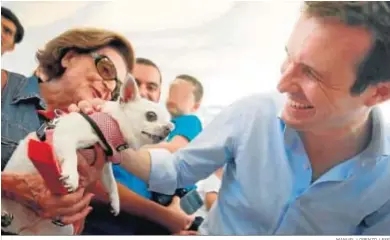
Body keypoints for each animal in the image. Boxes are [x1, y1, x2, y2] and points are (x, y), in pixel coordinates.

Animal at [0, 74, 174, 234]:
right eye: (151, 116)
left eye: (170, 123)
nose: (169, 128)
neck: (111, 124)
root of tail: (21, 227)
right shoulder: (65, 136)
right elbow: (71, 156)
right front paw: (72, 178)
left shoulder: (103, 164)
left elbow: (111, 182)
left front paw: (115, 202)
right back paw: (4, 214)